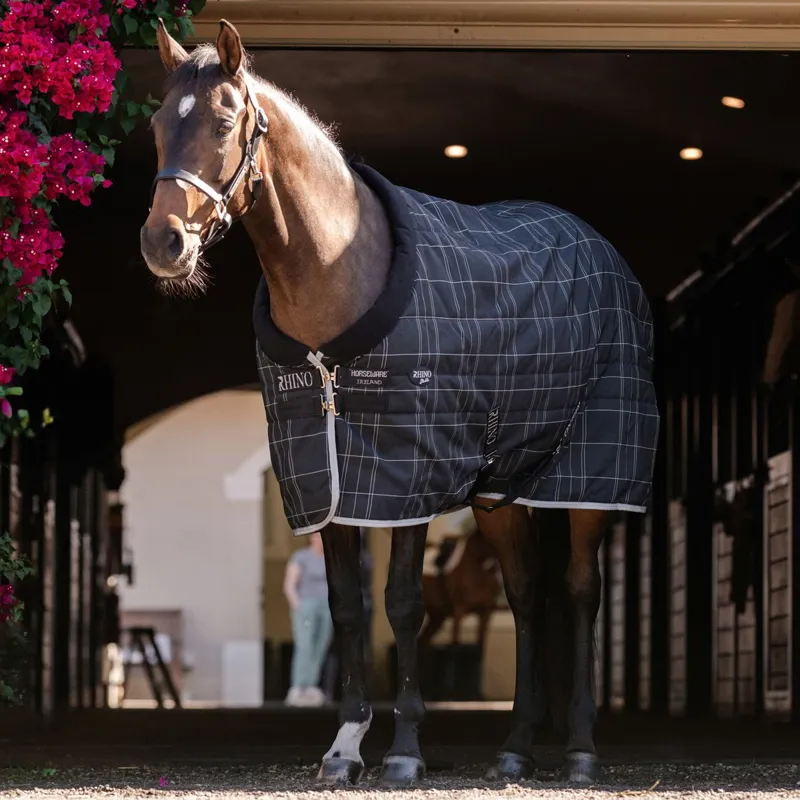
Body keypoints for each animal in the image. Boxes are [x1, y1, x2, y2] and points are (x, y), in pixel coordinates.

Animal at [140, 20, 659, 786]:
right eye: (154, 126)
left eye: (224, 120)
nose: (163, 242)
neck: (341, 275)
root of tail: (601, 250)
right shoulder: (327, 481)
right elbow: (350, 608)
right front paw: (345, 747)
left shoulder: (408, 475)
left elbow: (403, 604)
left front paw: (406, 749)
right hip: (500, 493)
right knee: (527, 595)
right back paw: (513, 748)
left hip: (590, 479)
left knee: (579, 590)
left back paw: (581, 750)